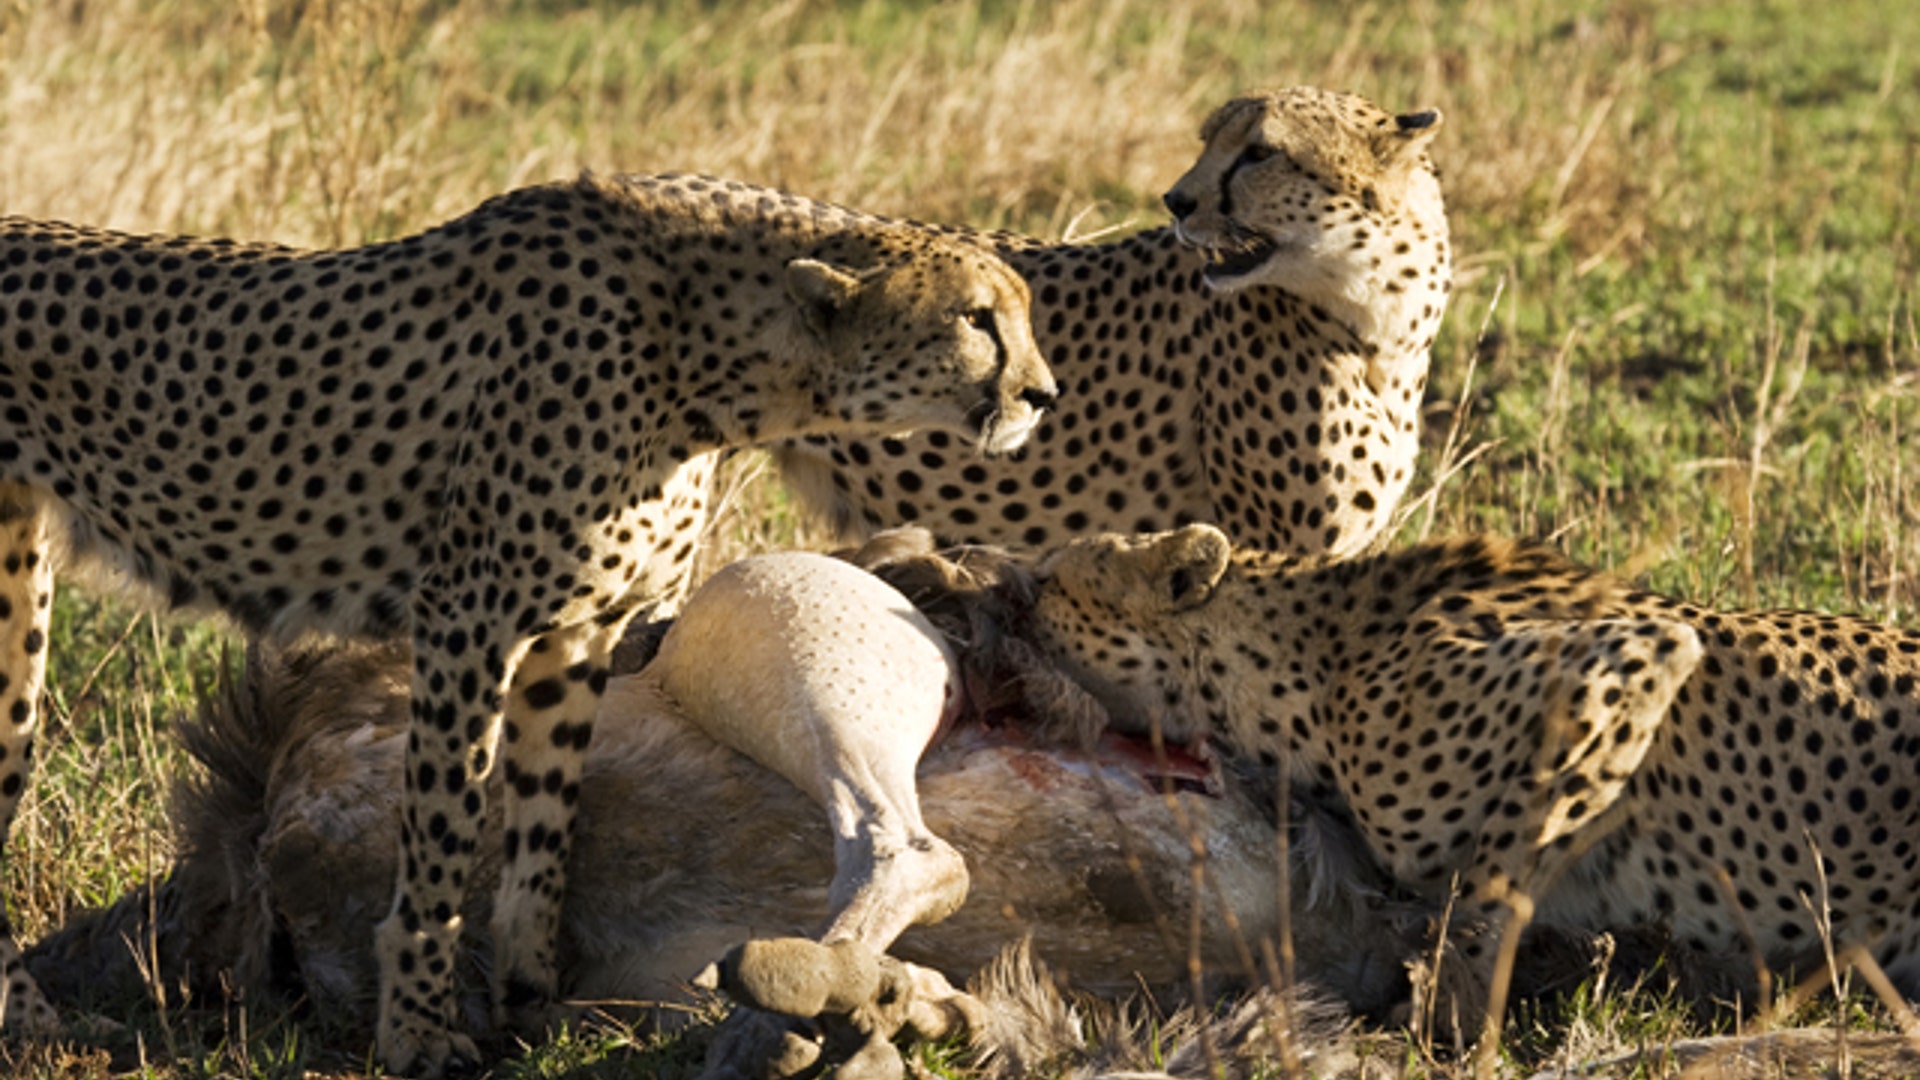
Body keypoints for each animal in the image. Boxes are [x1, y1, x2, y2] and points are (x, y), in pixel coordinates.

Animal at [0, 171, 1056, 1076]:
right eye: (976, 317)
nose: (1042, 395)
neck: (715, 352)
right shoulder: (467, 622)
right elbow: (444, 837)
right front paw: (418, 1032)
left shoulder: (578, 634)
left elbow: (546, 822)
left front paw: (528, 992)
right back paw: (39, 1026)